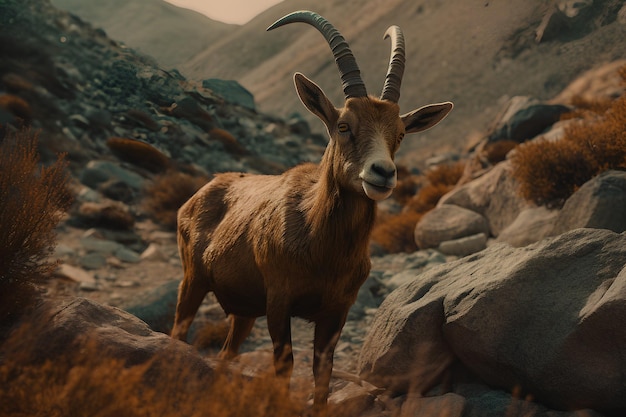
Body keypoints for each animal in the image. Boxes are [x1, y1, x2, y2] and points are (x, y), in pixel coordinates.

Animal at [171, 8, 454, 410]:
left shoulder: (337, 311)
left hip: (243, 311)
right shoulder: (279, 299)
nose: (382, 173)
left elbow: (323, 373)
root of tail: (202, 192)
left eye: (399, 134)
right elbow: (285, 366)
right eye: (343, 125)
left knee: (226, 354)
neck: (321, 242)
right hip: (193, 281)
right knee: (178, 334)